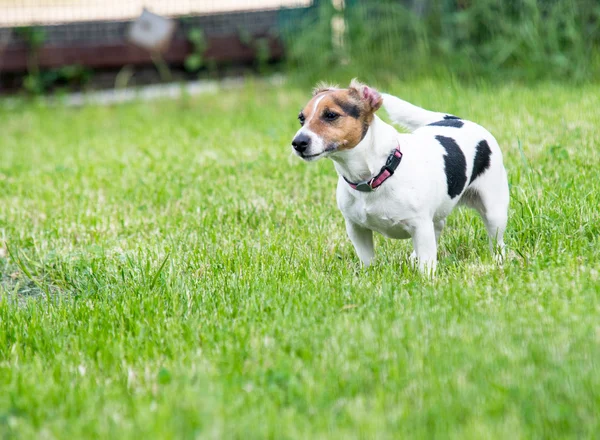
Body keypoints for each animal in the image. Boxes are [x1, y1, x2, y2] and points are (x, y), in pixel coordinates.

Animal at [292, 78, 508, 272]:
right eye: (301, 118)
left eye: (331, 115)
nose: (297, 142)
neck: (376, 174)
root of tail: (455, 119)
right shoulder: (356, 229)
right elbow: (367, 261)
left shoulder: (420, 226)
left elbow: (426, 266)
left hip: (494, 211)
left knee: (497, 241)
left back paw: (498, 261)